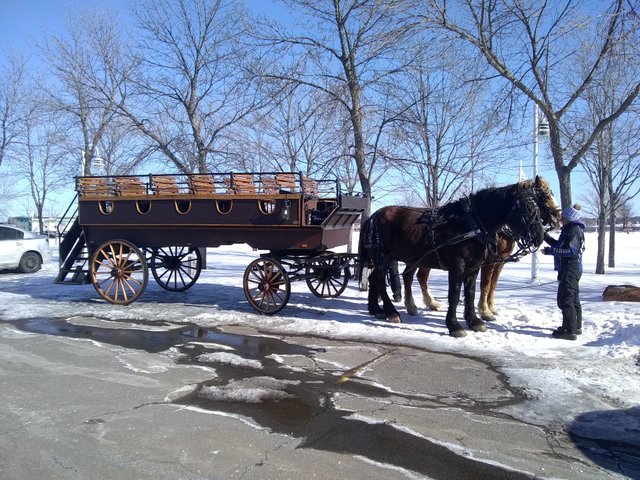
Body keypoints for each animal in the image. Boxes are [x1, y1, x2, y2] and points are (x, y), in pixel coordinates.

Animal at [358, 178, 548, 336]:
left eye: (539, 207)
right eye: (526, 207)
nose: (539, 237)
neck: (470, 224)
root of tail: (373, 217)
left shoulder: (473, 267)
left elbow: (470, 293)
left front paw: (474, 321)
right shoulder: (457, 266)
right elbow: (455, 295)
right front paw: (454, 325)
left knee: (376, 278)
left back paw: (376, 309)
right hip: (384, 257)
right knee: (380, 280)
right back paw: (392, 312)